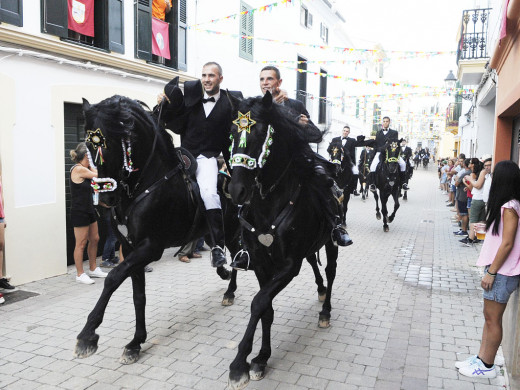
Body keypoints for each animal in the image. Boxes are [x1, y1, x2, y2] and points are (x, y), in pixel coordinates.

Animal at [73, 96, 244, 364]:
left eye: (111, 141)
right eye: (89, 146)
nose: (106, 198)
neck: (146, 182)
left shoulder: (150, 247)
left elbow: (112, 279)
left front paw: (87, 335)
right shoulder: (130, 248)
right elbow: (138, 296)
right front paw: (135, 343)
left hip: (233, 230)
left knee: (236, 255)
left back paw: (230, 290)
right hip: (208, 231)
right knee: (220, 251)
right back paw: (223, 273)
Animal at [226, 93, 342, 388]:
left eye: (258, 133)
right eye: (232, 133)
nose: (236, 190)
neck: (269, 202)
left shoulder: (288, 265)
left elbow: (258, 303)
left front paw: (239, 364)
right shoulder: (260, 262)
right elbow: (265, 308)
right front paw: (260, 358)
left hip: (332, 243)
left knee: (330, 271)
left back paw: (325, 311)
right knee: (315, 264)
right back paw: (320, 289)